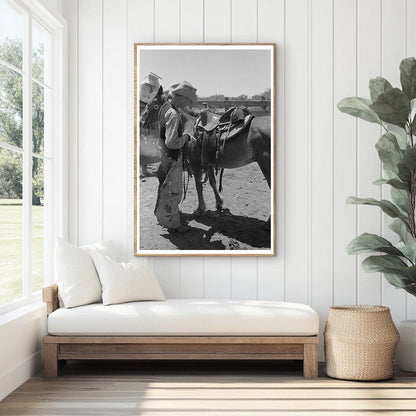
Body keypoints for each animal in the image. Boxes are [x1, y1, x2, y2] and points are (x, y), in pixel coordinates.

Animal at [141, 89, 272, 219]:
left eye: (154, 104)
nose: (141, 121)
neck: (189, 124)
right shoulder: (208, 161)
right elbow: (212, 182)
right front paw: (219, 203)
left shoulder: (194, 162)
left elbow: (198, 184)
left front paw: (200, 209)